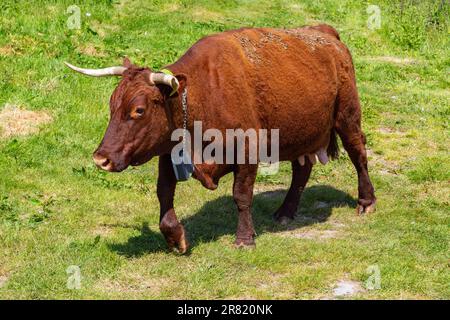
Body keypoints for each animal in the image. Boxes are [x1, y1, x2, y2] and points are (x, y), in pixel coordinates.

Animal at [66, 24, 376, 252]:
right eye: (112, 104)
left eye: (138, 110)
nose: (101, 158)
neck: (201, 94)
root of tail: (324, 32)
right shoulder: (169, 152)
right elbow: (164, 193)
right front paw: (175, 238)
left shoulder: (249, 149)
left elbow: (241, 195)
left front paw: (244, 238)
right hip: (301, 131)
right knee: (302, 169)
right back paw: (286, 211)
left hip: (347, 116)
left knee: (358, 153)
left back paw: (366, 201)